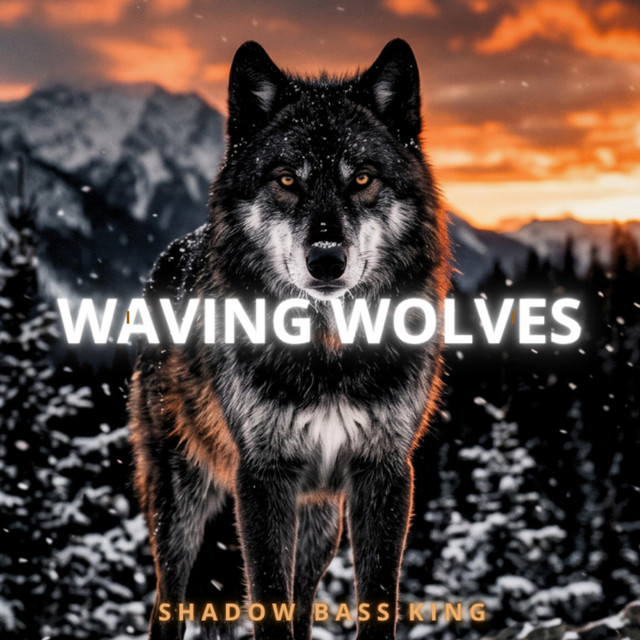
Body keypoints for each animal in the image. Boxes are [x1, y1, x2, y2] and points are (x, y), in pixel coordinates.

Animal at [128, 38, 450, 640]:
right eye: (286, 179)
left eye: (362, 178)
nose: (326, 260)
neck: (328, 354)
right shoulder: (263, 478)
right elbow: (268, 603)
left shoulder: (385, 473)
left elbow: (374, 601)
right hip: (182, 505)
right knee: (167, 601)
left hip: (319, 520)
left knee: (300, 603)